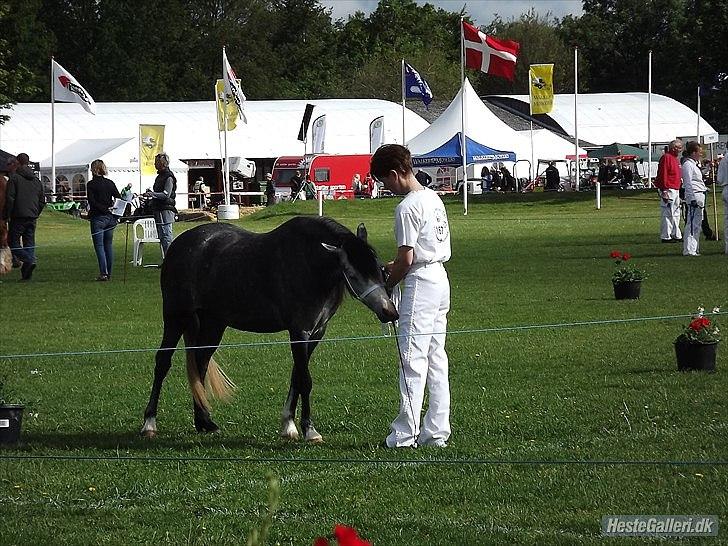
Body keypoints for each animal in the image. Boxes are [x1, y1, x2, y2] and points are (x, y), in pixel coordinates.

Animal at [141, 215, 398, 440]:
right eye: (352, 274)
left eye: (380, 268)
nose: (389, 312)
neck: (309, 263)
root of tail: (180, 244)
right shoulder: (299, 332)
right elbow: (305, 380)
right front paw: (309, 430)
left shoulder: (315, 334)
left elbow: (297, 376)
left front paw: (289, 425)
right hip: (176, 316)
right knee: (163, 362)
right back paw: (149, 423)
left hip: (214, 323)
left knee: (200, 362)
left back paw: (204, 422)